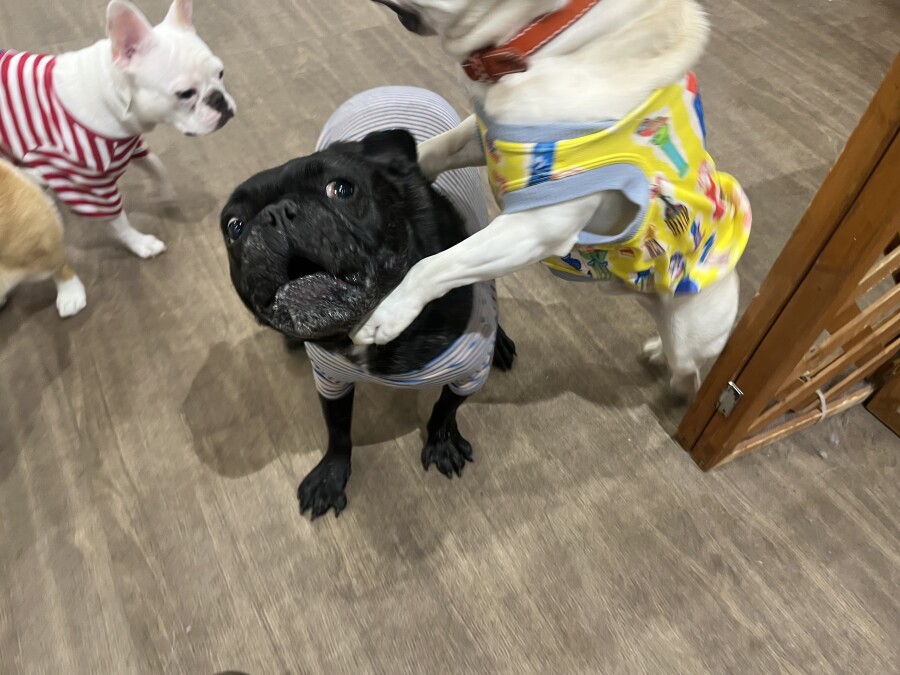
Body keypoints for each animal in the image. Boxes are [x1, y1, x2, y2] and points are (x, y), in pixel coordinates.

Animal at [0, 0, 235, 287]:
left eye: (220, 73)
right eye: (186, 94)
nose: (220, 99)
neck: (109, 94)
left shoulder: (129, 145)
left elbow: (155, 165)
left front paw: (165, 192)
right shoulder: (88, 186)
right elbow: (118, 221)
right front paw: (140, 243)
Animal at [220, 129, 516, 519]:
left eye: (342, 189)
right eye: (233, 227)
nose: (275, 214)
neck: (373, 320)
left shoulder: (468, 372)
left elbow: (445, 408)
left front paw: (441, 442)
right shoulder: (330, 379)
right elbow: (337, 427)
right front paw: (331, 474)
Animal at [358, 0, 752, 398]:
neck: (543, 39)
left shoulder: (535, 228)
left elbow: (438, 265)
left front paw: (386, 316)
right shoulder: (483, 140)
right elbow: (437, 149)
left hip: (690, 331)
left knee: (689, 370)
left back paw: (677, 382)